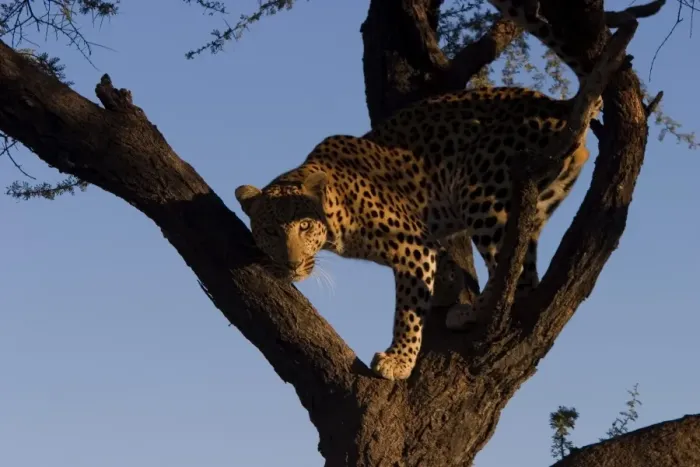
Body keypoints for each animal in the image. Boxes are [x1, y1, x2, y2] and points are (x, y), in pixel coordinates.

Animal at [235, 0, 604, 381]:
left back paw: (472, 312)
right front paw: (447, 287)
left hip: (480, 191)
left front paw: (398, 359)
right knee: (522, 266)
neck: (335, 213)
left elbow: (409, 308)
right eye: (269, 231)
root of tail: (558, 105)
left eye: (304, 226)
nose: (291, 265)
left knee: (517, 275)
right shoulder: (426, 235)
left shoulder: (411, 243)